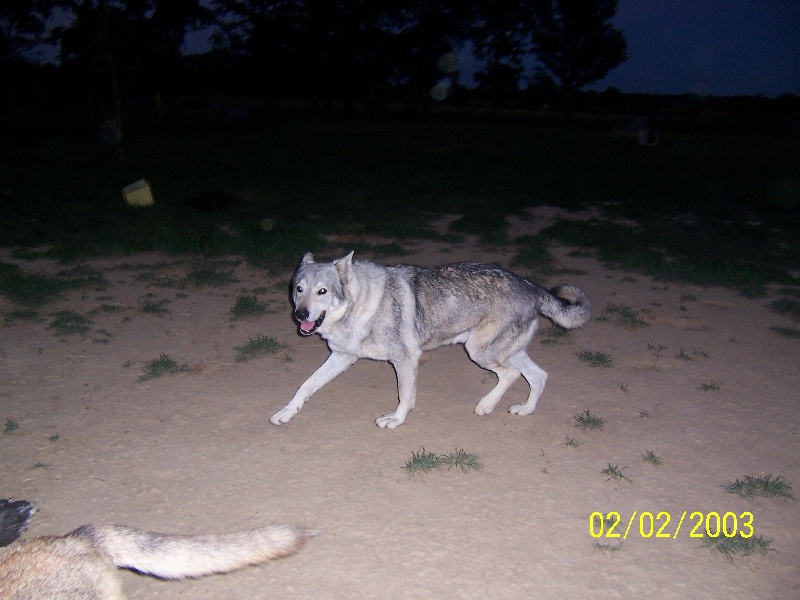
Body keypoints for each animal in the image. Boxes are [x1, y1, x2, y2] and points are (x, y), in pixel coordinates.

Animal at [270, 252, 591, 428]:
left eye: (322, 291)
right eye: (299, 289)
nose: (300, 315)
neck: (360, 305)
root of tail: (532, 285)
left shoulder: (404, 359)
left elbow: (403, 395)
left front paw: (396, 420)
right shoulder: (341, 357)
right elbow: (305, 386)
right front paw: (286, 413)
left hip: (479, 351)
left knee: (511, 375)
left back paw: (486, 405)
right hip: (505, 351)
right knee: (539, 376)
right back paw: (525, 409)